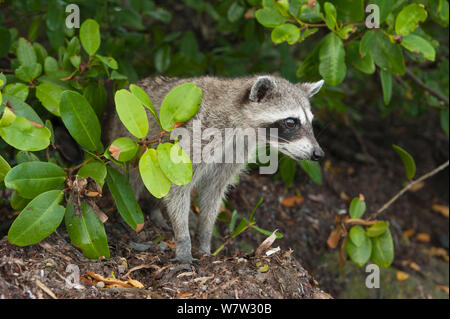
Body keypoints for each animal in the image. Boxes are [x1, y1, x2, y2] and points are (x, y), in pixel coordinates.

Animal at [104, 75, 326, 264]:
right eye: (291, 122)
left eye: (310, 122)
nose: (318, 153)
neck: (241, 125)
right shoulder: (200, 133)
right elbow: (178, 186)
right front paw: (184, 241)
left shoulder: (235, 151)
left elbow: (213, 192)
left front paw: (204, 238)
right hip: (129, 139)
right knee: (131, 177)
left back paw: (154, 208)